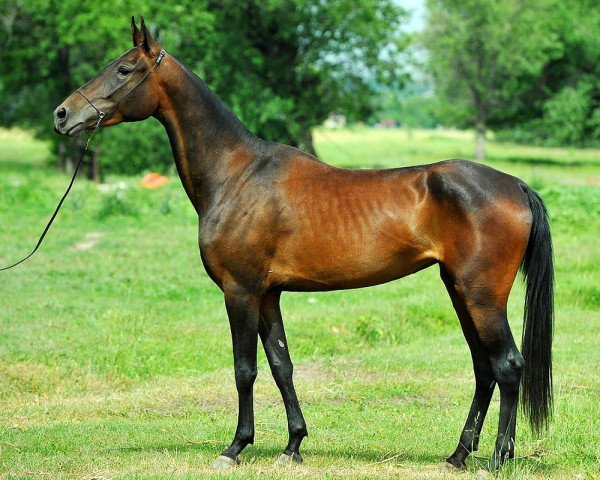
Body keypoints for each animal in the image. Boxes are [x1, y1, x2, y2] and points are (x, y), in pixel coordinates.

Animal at [54, 16, 556, 470]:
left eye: (124, 69)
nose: (62, 114)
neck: (237, 175)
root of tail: (514, 185)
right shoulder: (268, 294)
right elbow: (282, 365)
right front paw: (292, 445)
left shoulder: (240, 291)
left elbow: (244, 369)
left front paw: (235, 448)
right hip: (459, 291)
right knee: (484, 369)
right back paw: (457, 455)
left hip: (481, 295)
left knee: (508, 365)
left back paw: (498, 458)